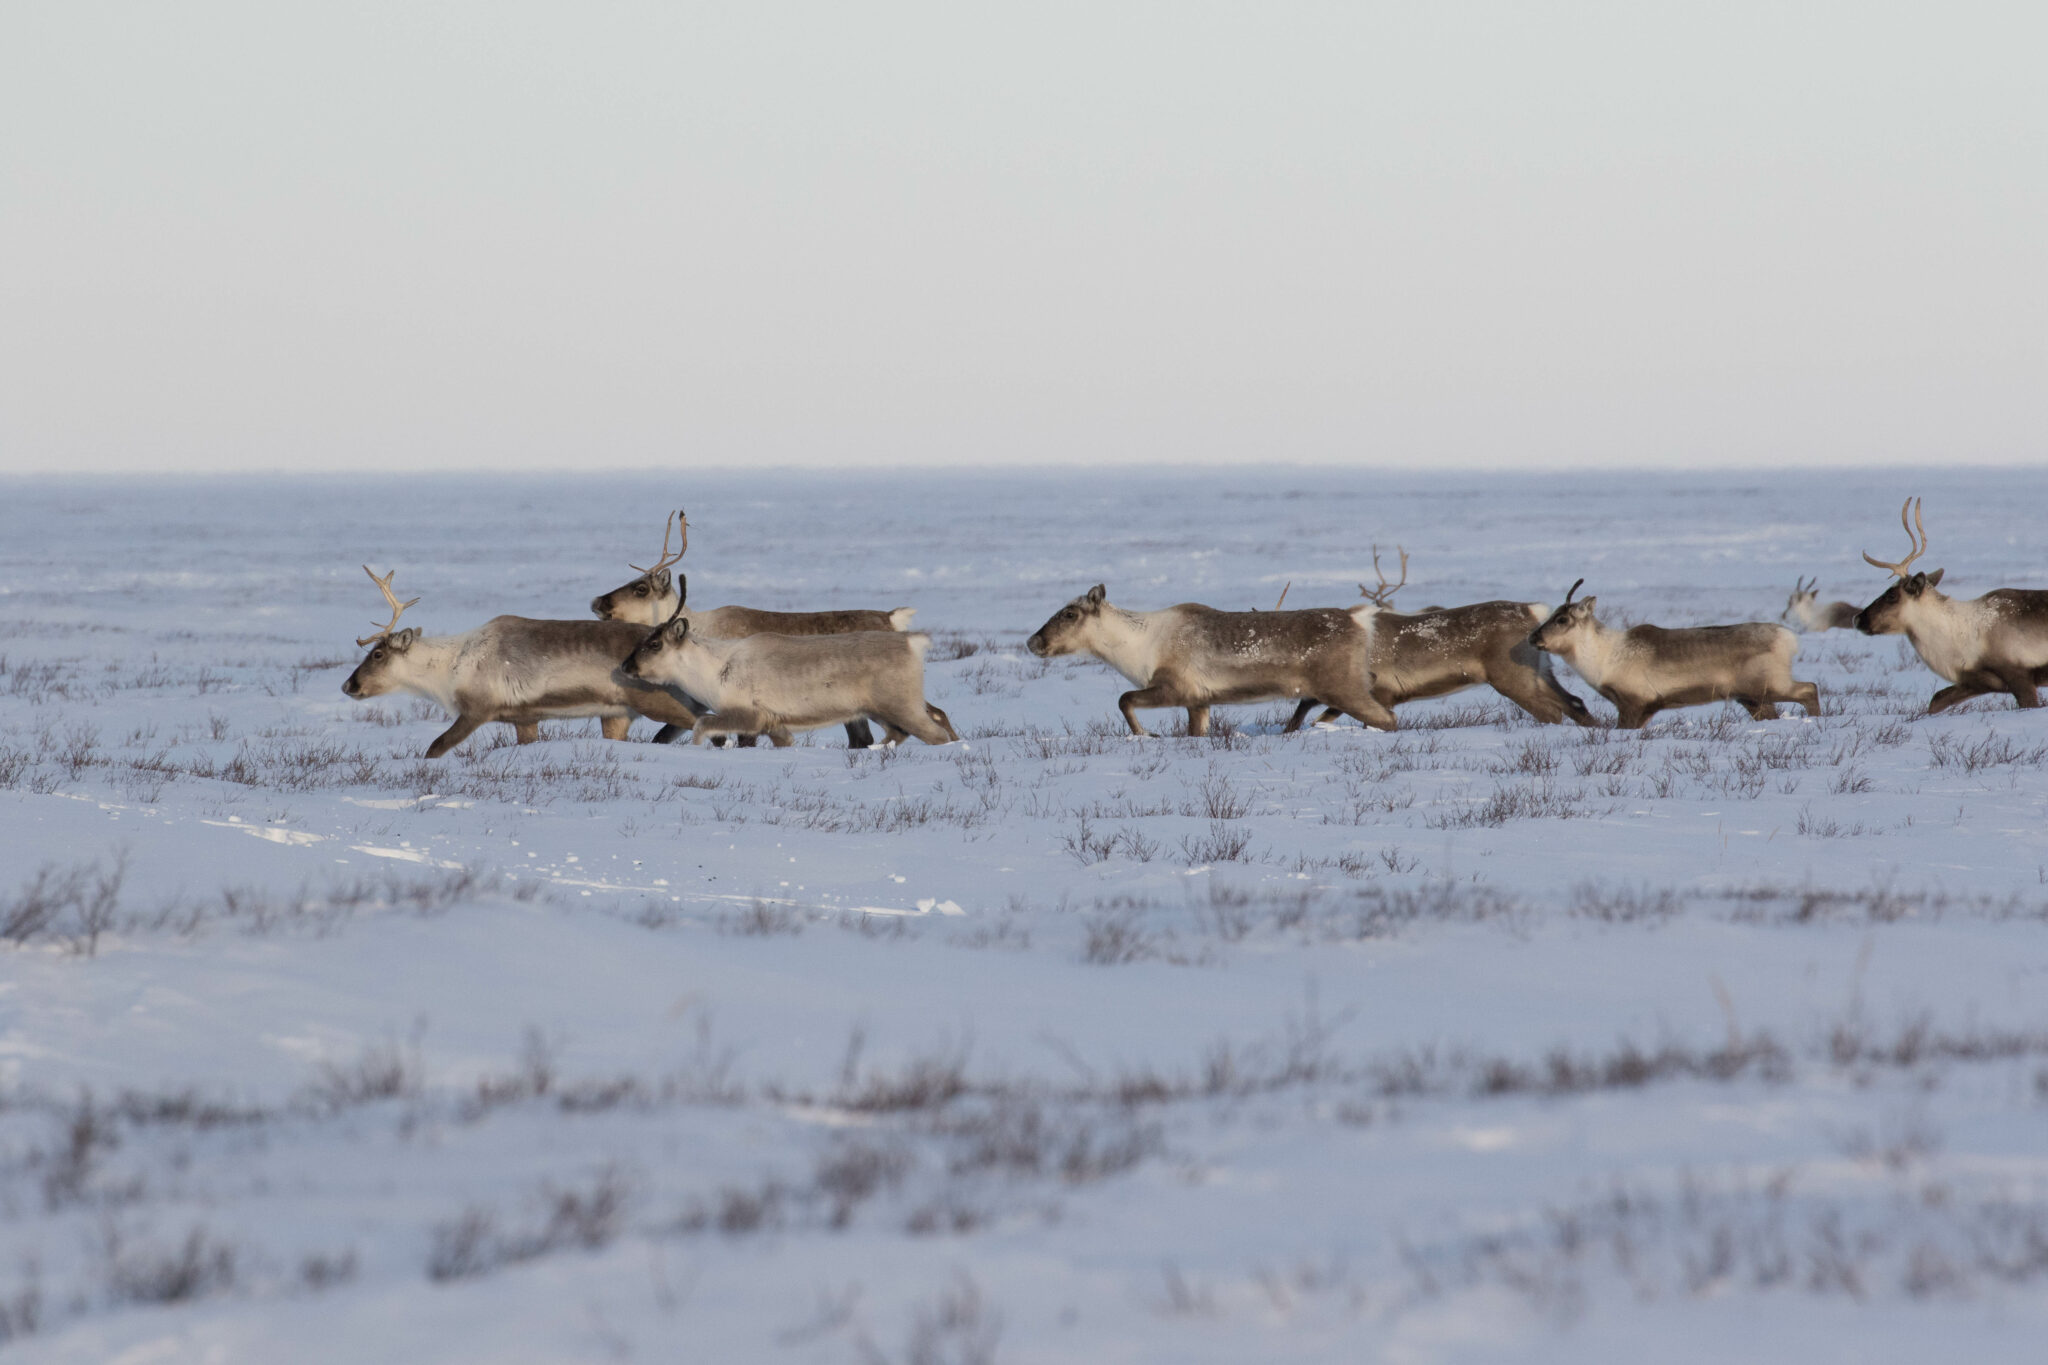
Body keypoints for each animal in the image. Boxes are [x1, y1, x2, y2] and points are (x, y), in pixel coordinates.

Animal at [339, 564, 700, 757]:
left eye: (377, 654)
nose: (347, 685)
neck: (448, 667)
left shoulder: (476, 711)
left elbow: (435, 748)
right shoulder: (525, 718)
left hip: (655, 701)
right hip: (617, 715)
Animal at [618, 618, 954, 749]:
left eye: (655, 643)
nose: (625, 666)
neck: (712, 672)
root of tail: (913, 642)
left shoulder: (748, 715)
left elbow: (701, 726)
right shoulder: (774, 723)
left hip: (900, 704)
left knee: (934, 734)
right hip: (878, 710)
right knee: (902, 732)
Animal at [1024, 585, 1392, 736]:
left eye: (1070, 613)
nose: (1032, 642)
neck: (1135, 648)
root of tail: (1359, 619)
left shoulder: (1175, 688)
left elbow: (1124, 699)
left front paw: (1146, 734)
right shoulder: (1199, 702)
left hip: (1341, 685)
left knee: (1387, 717)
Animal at [1531, 581, 1818, 732]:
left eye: (1562, 619)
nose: (1533, 637)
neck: (1602, 659)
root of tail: (1790, 639)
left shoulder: (1634, 702)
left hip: (1771, 684)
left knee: (1810, 687)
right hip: (1751, 697)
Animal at [1859, 501, 2048, 716]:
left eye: (1891, 595)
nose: (1858, 618)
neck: (1958, 637)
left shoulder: (2019, 676)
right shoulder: (1976, 681)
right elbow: (1936, 701)